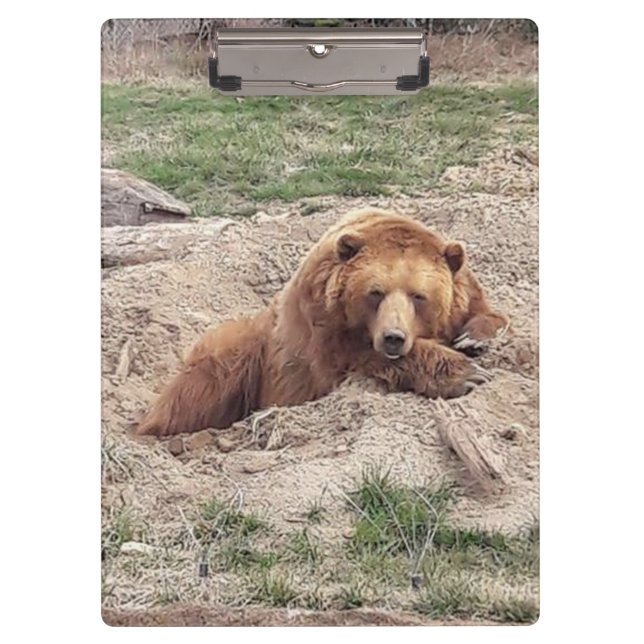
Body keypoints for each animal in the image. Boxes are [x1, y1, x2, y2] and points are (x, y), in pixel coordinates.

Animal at [137, 208, 508, 437]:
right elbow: (352, 356)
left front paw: (474, 340)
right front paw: (466, 374)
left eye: (419, 296)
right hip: (248, 353)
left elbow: (487, 313)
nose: (393, 337)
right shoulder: (322, 325)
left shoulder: (464, 290)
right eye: (375, 292)